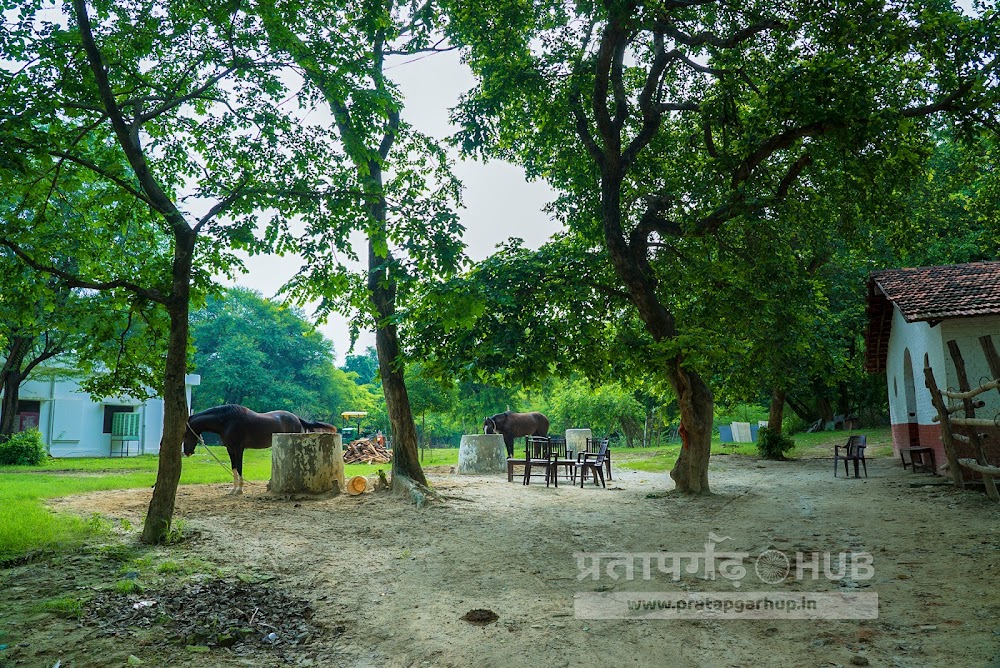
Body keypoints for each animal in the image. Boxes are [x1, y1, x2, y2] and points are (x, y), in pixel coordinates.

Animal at [180, 404, 336, 494]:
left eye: (185, 434)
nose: (187, 452)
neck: (226, 421)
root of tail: (297, 418)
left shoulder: (239, 448)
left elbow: (239, 467)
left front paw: (240, 490)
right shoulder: (230, 449)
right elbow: (234, 468)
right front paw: (233, 490)